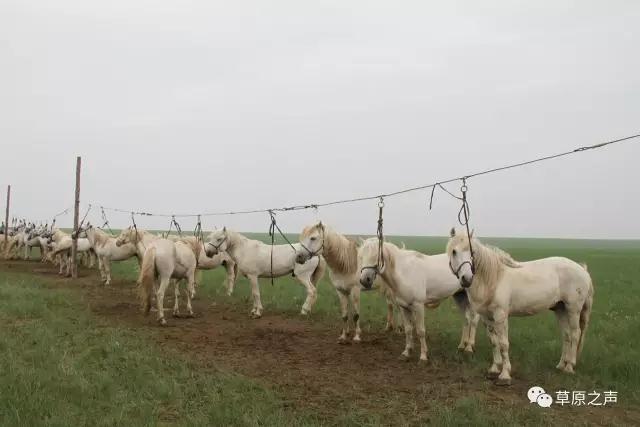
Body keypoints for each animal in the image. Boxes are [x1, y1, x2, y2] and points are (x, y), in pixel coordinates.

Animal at [446, 228, 594, 385]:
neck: (494, 278)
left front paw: (505, 374)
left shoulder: (501, 316)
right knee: (566, 335)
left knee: (575, 334)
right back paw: (561, 365)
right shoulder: (487, 317)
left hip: (573, 309)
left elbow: (503, 343)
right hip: (560, 309)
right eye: (454, 251)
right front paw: (494, 368)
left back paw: (569, 367)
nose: (467, 279)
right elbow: (493, 342)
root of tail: (582, 269)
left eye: (472, 252)